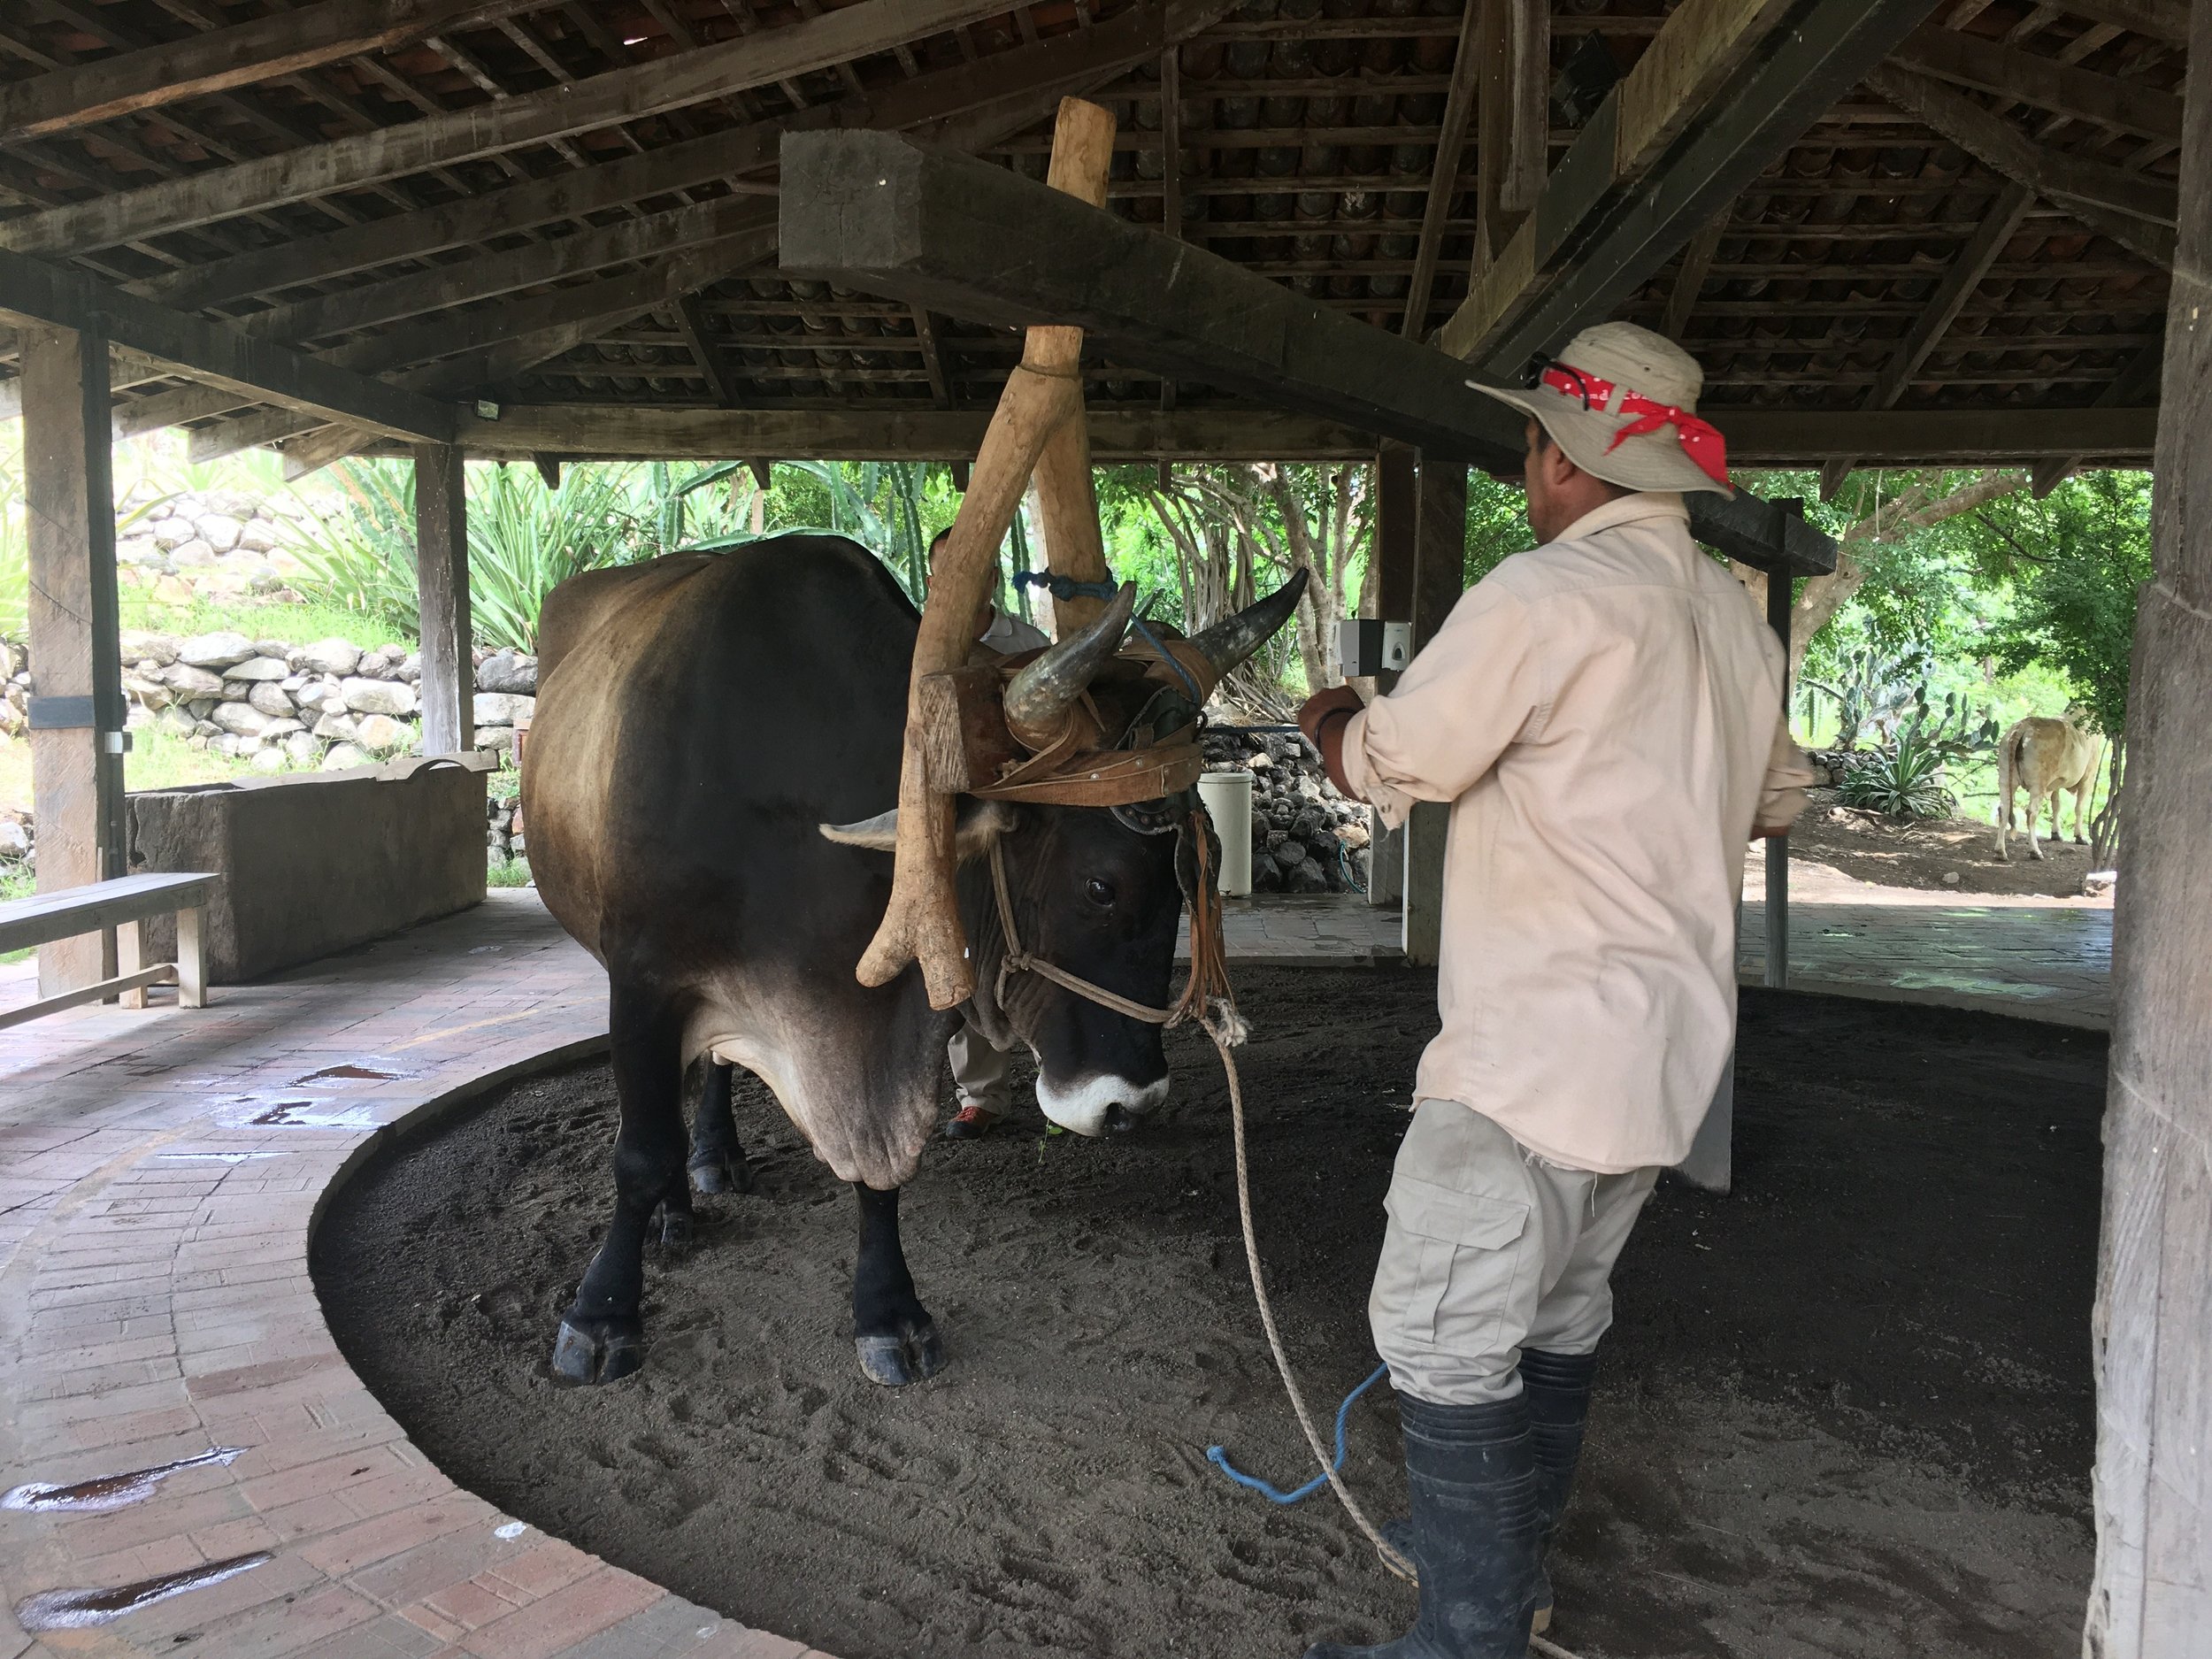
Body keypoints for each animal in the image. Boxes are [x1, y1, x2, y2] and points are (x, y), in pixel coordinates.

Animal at [2000, 717, 2097, 863]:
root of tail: (2024, 725)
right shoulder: (2088, 778)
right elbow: (2079, 808)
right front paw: (2080, 837)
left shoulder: (2055, 784)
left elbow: (2056, 805)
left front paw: (2056, 834)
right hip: (2038, 783)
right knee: (2031, 813)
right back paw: (2035, 851)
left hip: (2005, 778)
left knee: (2003, 809)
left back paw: (2000, 852)